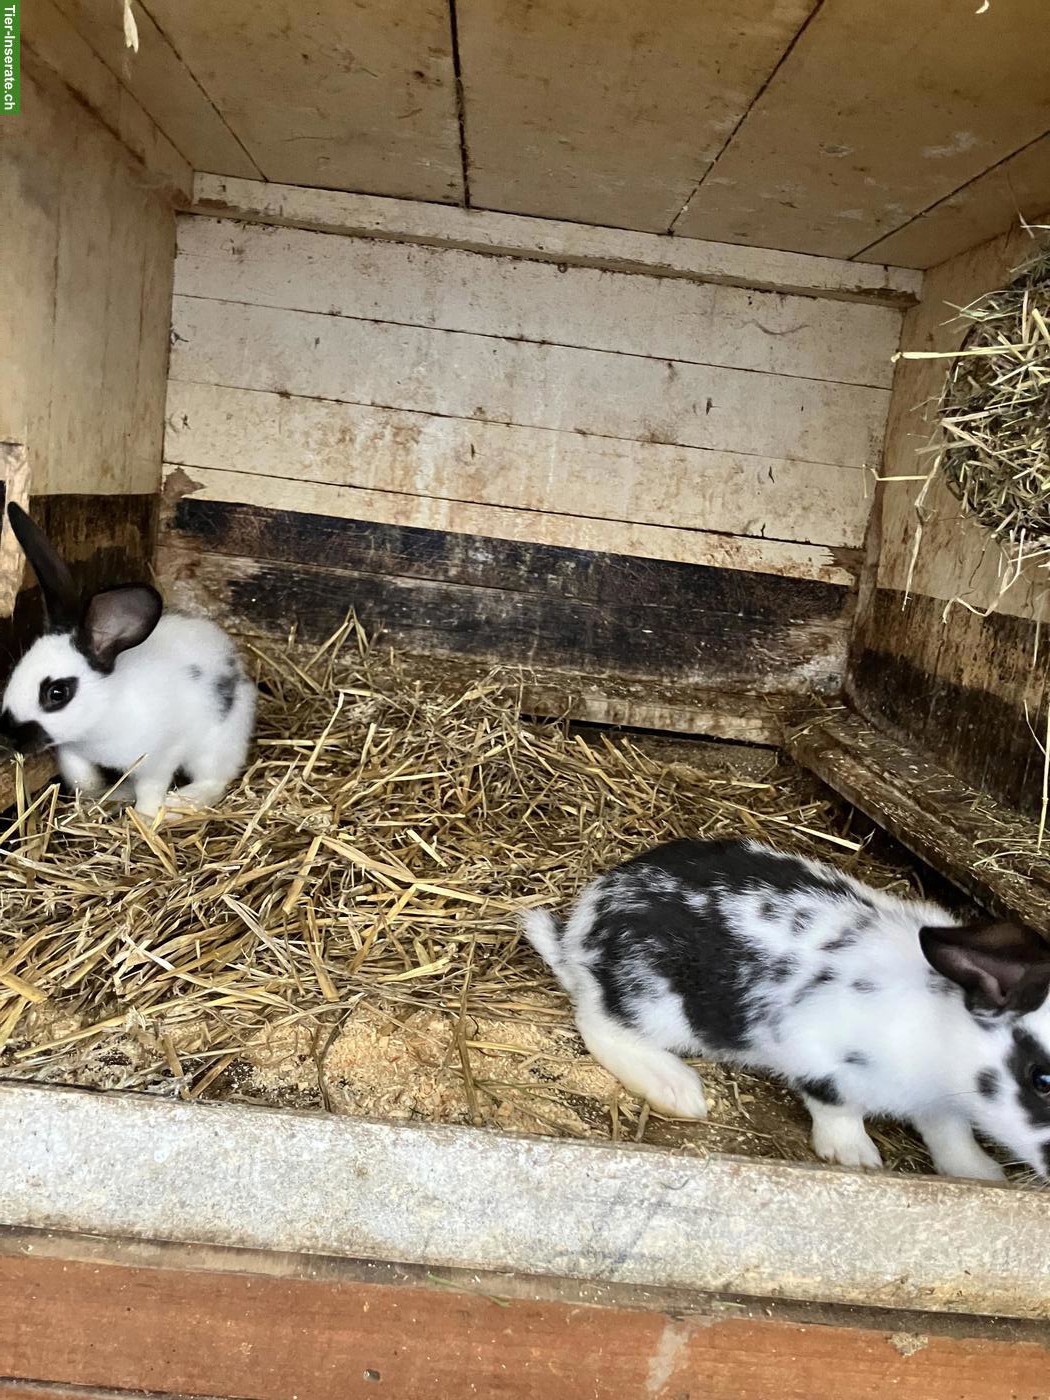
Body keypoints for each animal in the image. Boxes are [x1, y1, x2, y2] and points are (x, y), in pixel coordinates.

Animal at [0, 502, 256, 820]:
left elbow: (150, 788)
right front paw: (98, 796)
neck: (104, 714)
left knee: (215, 779)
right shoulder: (73, 750)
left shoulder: (159, 756)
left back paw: (180, 804)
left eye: (57, 693)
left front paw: (145, 816)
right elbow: (79, 775)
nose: (8, 737)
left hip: (215, 745)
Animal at [522, 836, 1050, 1182]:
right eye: (1041, 1079)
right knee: (599, 1025)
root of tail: (582, 928)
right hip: (655, 1003)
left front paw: (981, 1174)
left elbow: (950, 1134)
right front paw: (855, 1156)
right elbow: (836, 1106)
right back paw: (678, 1089)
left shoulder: (943, 1107)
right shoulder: (815, 1052)